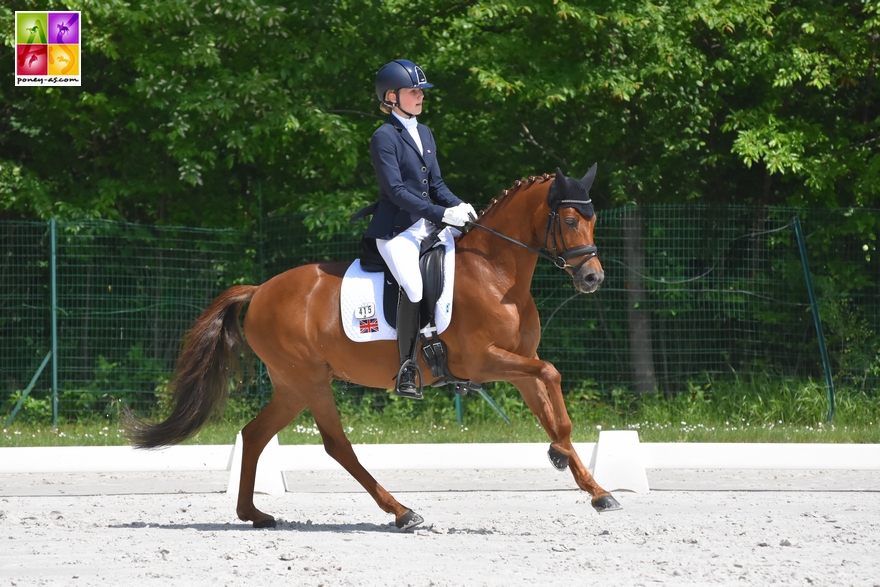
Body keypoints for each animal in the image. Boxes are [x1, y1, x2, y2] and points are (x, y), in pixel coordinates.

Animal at [124, 167, 624, 532]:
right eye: (569, 219)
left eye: (593, 218)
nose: (593, 278)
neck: (497, 274)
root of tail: (261, 289)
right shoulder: (482, 362)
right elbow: (553, 374)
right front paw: (563, 456)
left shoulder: (518, 365)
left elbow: (550, 402)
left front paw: (594, 486)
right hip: (309, 380)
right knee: (336, 446)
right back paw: (402, 512)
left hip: (292, 385)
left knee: (255, 434)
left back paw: (255, 514)